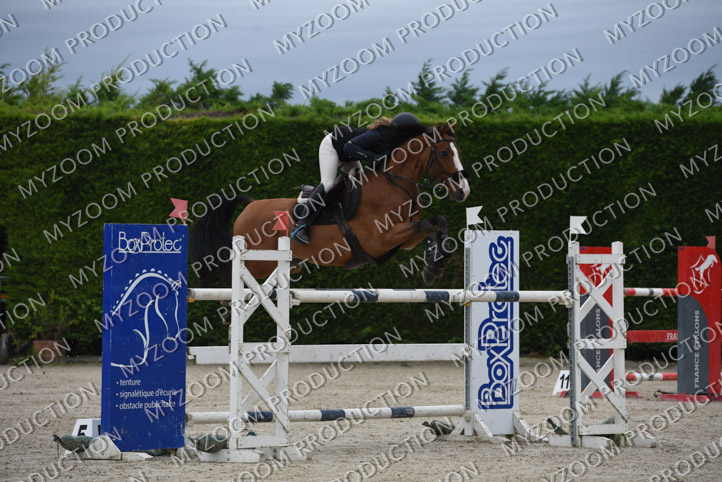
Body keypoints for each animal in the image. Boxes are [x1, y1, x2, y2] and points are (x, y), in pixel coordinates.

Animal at [191, 121, 470, 286]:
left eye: (459, 152)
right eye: (444, 153)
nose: (463, 190)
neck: (395, 183)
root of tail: (250, 205)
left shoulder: (403, 240)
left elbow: (436, 222)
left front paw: (440, 260)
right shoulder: (381, 239)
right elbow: (426, 226)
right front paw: (432, 267)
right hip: (257, 261)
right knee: (232, 271)